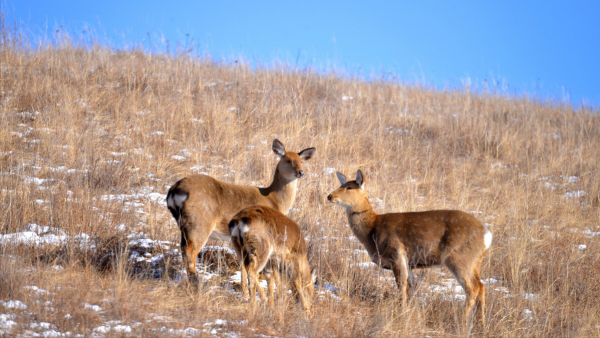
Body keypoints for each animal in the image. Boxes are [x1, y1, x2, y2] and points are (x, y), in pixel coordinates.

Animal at [164, 139, 314, 292]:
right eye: (288, 160)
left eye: (301, 161)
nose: (301, 172)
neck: (274, 200)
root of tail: (174, 191)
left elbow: (242, 265)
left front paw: (244, 291)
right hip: (199, 222)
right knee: (190, 252)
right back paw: (196, 285)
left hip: (184, 225)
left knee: (183, 249)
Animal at [328, 170, 492, 326]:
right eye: (341, 184)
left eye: (349, 187)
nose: (330, 196)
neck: (371, 230)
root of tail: (487, 234)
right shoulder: (408, 263)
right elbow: (412, 289)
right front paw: (414, 315)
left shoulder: (396, 254)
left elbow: (402, 288)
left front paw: (403, 315)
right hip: (474, 261)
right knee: (481, 286)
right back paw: (482, 324)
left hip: (459, 257)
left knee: (472, 288)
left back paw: (464, 322)